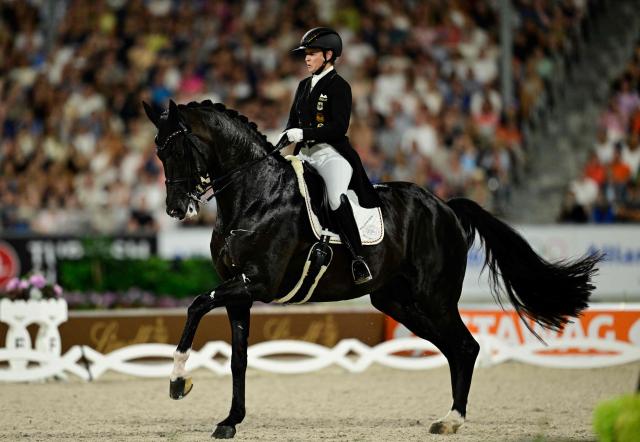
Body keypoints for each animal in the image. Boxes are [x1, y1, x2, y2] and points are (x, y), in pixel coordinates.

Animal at [143, 99, 601, 439]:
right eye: (158, 151)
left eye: (177, 149)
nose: (176, 209)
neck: (254, 196)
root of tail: (445, 206)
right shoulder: (240, 291)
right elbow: (237, 357)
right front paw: (230, 421)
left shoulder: (256, 283)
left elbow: (196, 305)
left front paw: (178, 383)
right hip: (397, 302)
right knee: (455, 348)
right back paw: (449, 418)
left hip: (433, 297)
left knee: (466, 346)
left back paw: (453, 420)